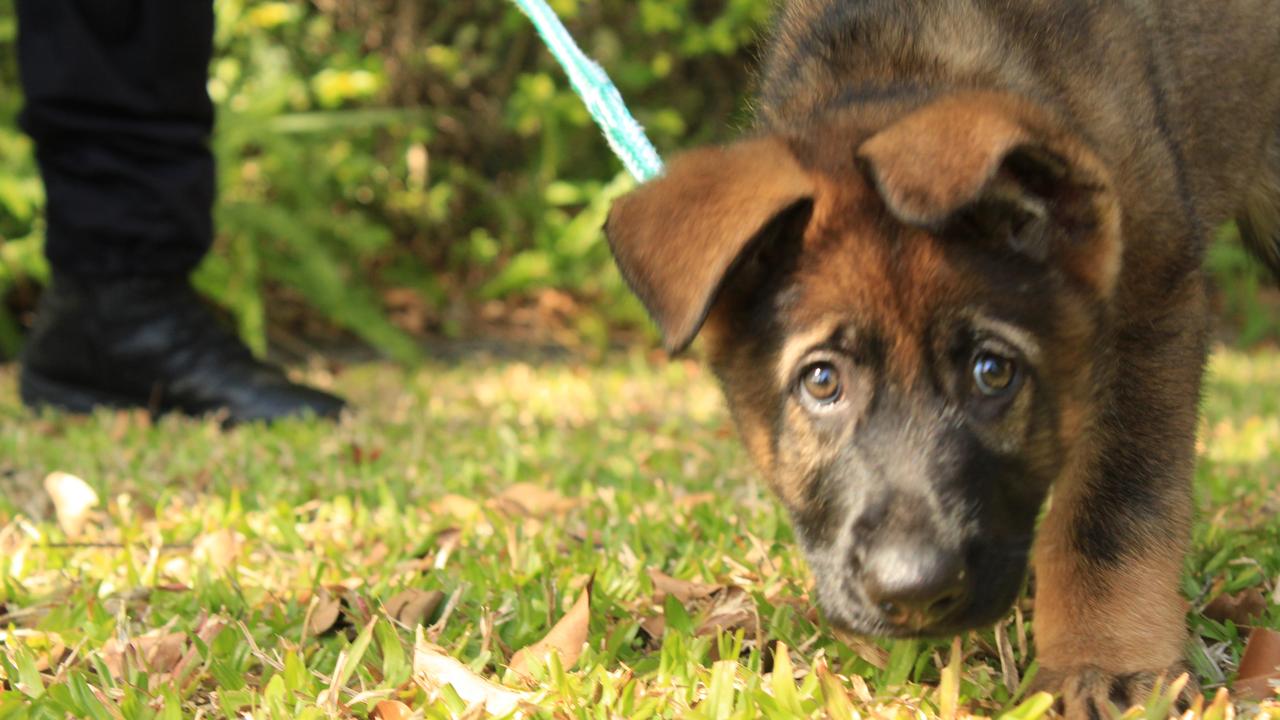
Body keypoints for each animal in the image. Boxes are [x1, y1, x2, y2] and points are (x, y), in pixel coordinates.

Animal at [604, 0, 1280, 712]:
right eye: (822, 381)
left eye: (994, 372)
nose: (915, 590)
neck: (895, 62)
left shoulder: (1151, 305)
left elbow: (1114, 511)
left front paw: (1103, 663)